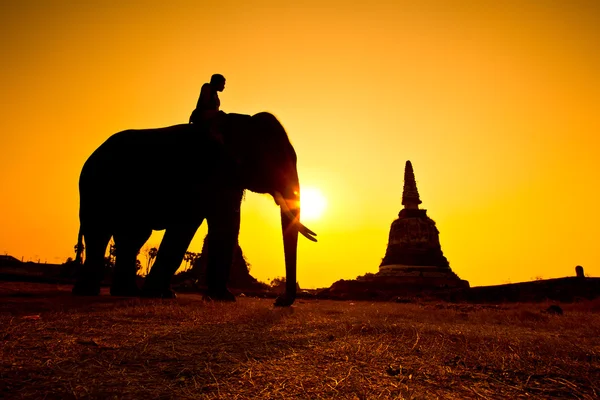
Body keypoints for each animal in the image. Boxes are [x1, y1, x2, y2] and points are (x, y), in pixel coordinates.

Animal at [72, 112, 316, 306]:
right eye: (272, 161)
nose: (278, 301)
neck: (238, 122)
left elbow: (226, 224)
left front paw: (222, 298)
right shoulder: (199, 173)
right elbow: (186, 225)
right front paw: (158, 294)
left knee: (133, 237)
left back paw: (127, 291)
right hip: (95, 188)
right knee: (99, 232)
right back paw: (89, 292)